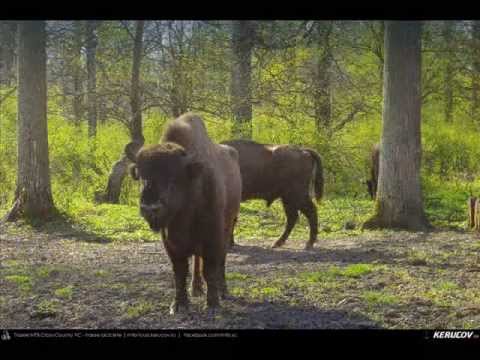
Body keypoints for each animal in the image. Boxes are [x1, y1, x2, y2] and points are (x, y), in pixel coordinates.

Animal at [125, 113, 242, 316]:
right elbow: (179, 272)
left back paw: (223, 291)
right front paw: (179, 305)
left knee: (221, 261)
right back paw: (195, 289)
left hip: (228, 227)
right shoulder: (171, 242)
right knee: (196, 261)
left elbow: (211, 268)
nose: (150, 208)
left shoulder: (213, 237)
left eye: (173, 178)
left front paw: (212, 304)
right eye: (141, 175)